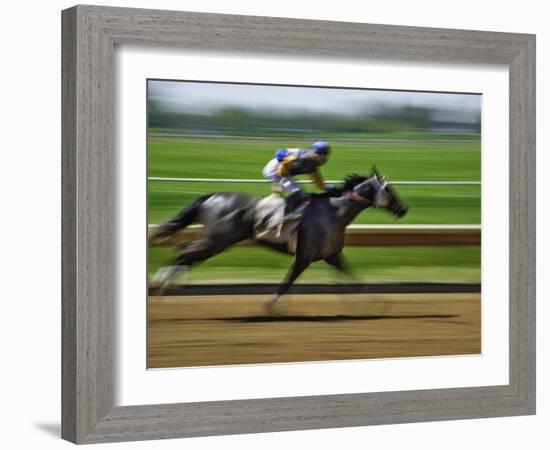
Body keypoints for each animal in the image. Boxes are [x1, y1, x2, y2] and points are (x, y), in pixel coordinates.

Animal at [149, 170, 408, 306]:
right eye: (389, 189)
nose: (403, 208)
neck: (334, 212)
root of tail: (212, 196)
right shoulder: (304, 256)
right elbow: (286, 282)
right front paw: (269, 306)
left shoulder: (332, 256)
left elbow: (356, 279)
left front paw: (379, 303)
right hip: (217, 239)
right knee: (184, 250)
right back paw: (159, 284)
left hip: (216, 242)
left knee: (186, 253)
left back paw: (165, 284)